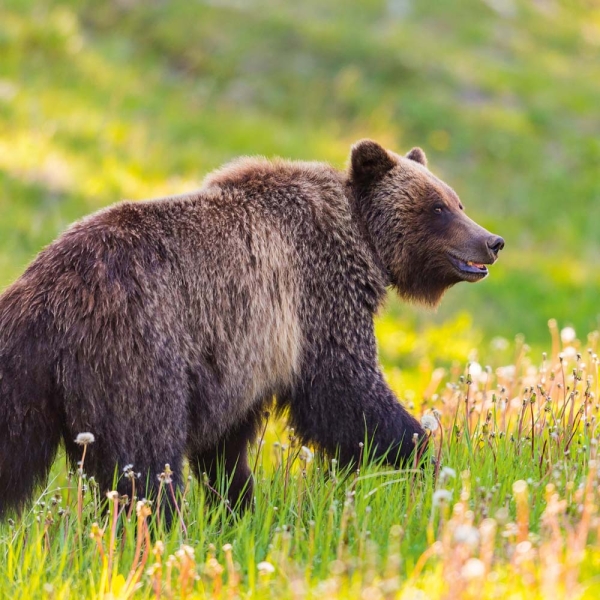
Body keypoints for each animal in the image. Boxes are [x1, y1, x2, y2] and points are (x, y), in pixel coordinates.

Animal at [0, 141, 504, 516]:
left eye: (457, 201)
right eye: (438, 207)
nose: (492, 241)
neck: (362, 242)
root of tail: (42, 288)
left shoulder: (237, 356)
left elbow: (227, 448)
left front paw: (238, 506)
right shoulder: (314, 301)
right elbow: (347, 393)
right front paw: (421, 455)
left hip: (31, 378)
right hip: (135, 352)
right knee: (145, 459)